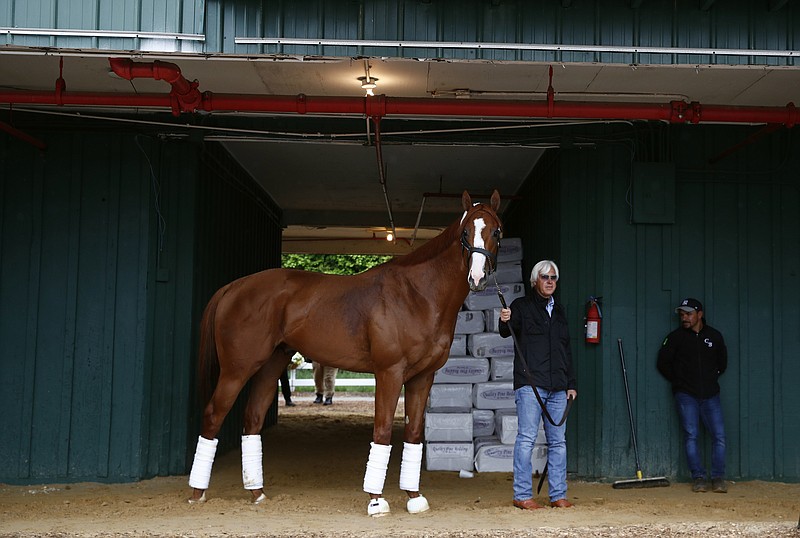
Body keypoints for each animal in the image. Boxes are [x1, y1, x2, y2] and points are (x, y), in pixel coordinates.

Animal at [188, 189, 500, 516]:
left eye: (496, 231)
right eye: (465, 233)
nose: (477, 278)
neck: (416, 295)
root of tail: (234, 287)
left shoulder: (422, 377)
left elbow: (414, 434)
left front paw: (414, 498)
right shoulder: (389, 373)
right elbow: (383, 431)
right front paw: (376, 501)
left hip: (269, 366)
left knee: (252, 420)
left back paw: (257, 493)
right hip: (237, 370)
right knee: (213, 415)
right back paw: (197, 493)